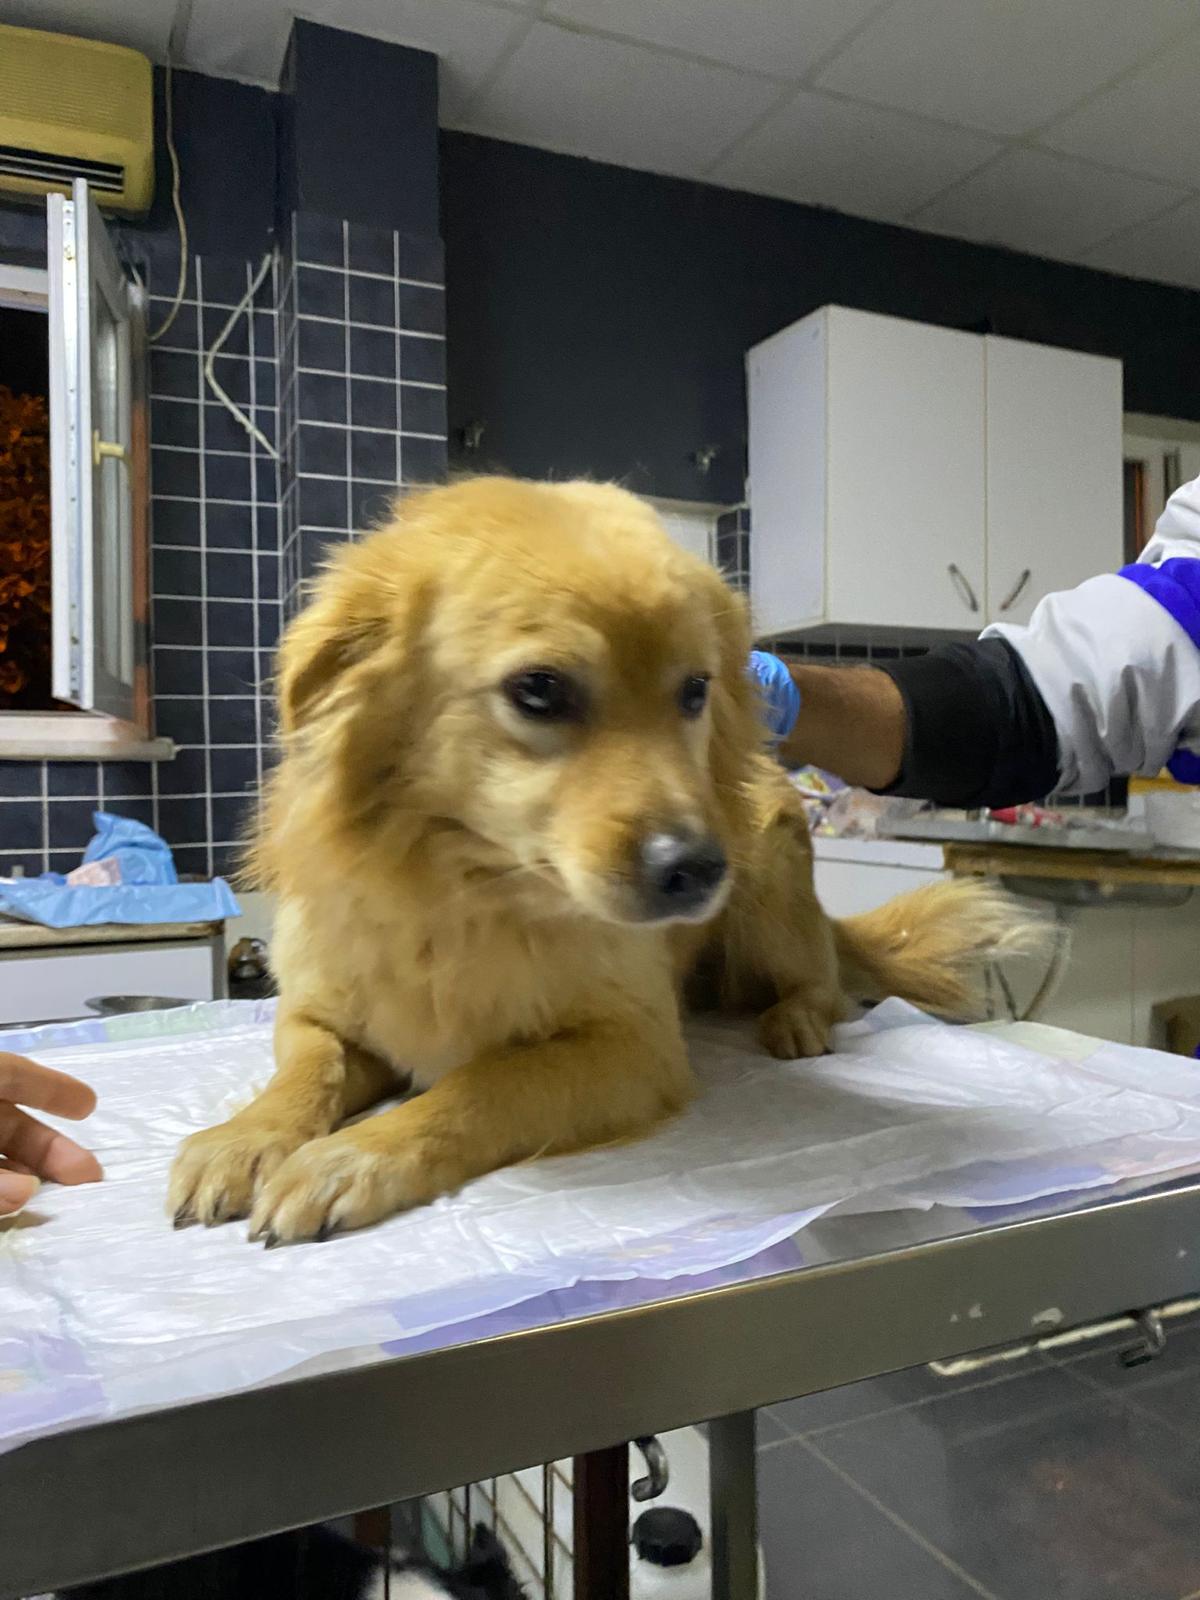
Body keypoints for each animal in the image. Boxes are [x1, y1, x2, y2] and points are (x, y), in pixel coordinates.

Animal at [168, 477, 1040, 1244]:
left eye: (694, 690)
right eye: (539, 689)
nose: (699, 869)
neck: (463, 894)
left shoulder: (634, 1045)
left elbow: (483, 1083)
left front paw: (349, 1158)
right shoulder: (317, 1013)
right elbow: (304, 1071)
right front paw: (244, 1139)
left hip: (771, 895)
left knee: (823, 983)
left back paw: (795, 1017)